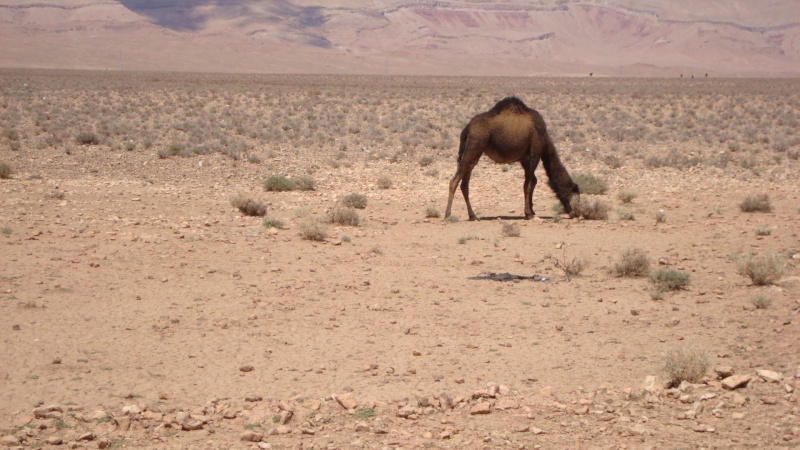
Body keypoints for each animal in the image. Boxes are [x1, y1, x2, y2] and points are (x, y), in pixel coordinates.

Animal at [444, 96, 580, 221]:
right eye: (576, 197)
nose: (576, 213)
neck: (545, 140)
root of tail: (467, 128)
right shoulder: (535, 154)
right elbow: (529, 184)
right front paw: (529, 214)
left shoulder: (525, 159)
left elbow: (531, 182)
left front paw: (531, 211)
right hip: (475, 144)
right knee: (455, 180)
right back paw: (448, 215)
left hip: (473, 152)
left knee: (465, 183)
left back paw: (473, 216)